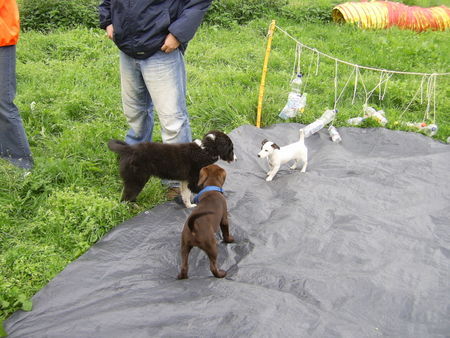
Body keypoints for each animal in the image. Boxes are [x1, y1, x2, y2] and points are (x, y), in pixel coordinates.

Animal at [108, 131, 236, 207]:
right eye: (231, 148)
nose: (236, 159)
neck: (205, 149)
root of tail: (128, 149)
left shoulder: (185, 180)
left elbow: (185, 194)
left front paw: (188, 206)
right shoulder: (193, 180)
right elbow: (200, 189)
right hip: (136, 179)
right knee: (125, 198)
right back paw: (132, 208)